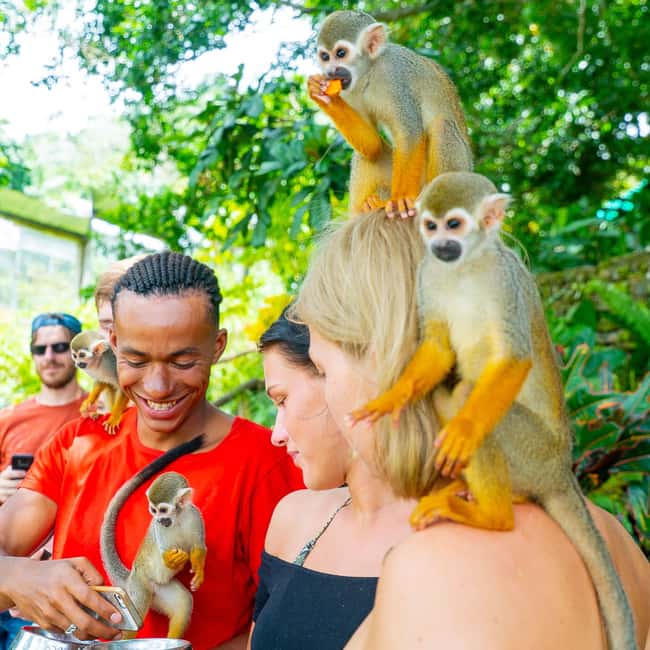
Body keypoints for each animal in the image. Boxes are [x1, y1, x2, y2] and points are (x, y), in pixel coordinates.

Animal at [101, 435, 206, 639]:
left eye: (163, 510)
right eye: (153, 510)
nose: (159, 520)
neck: (177, 519)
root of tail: (130, 575)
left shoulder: (194, 515)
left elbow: (198, 546)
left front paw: (198, 570)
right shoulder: (160, 530)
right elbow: (165, 555)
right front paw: (175, 559)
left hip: (161, 590)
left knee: (183, 602)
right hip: (139, 585)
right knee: (137, 613)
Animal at [308, 10, 473, 220]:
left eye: (341, 53)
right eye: (325, 56)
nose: (330, 72)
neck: (369, 73)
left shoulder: (395, 75)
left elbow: (409, 133)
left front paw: (400, 199)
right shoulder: (348, 91)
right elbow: (372, 145)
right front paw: (322, 95)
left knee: (442, 126)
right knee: (367, 153)